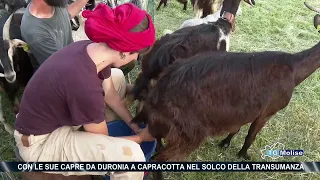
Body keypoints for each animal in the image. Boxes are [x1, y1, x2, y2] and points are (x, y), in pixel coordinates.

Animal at [134, 29, 320, 162]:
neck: (294, 69)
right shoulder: (268, 111)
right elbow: (251, 135)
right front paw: (243, 155)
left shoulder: (244, 109)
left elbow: (237, 128)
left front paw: (225, 143)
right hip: (185, 132)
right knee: (160, 156)